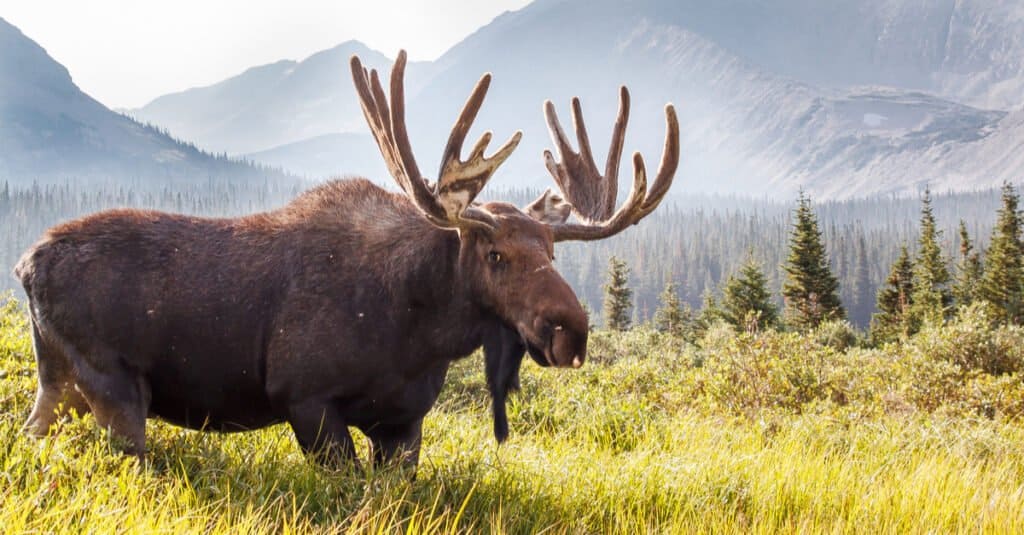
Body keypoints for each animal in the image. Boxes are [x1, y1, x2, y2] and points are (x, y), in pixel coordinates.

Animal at [15, 50, 679, 470]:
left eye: (551, 251)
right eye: (494, 253)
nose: (572, 331)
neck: (421, 331)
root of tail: (25, 266)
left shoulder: (404, 422)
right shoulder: (304, 398)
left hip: (60, 382)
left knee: (31, 435)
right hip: (113, 384)